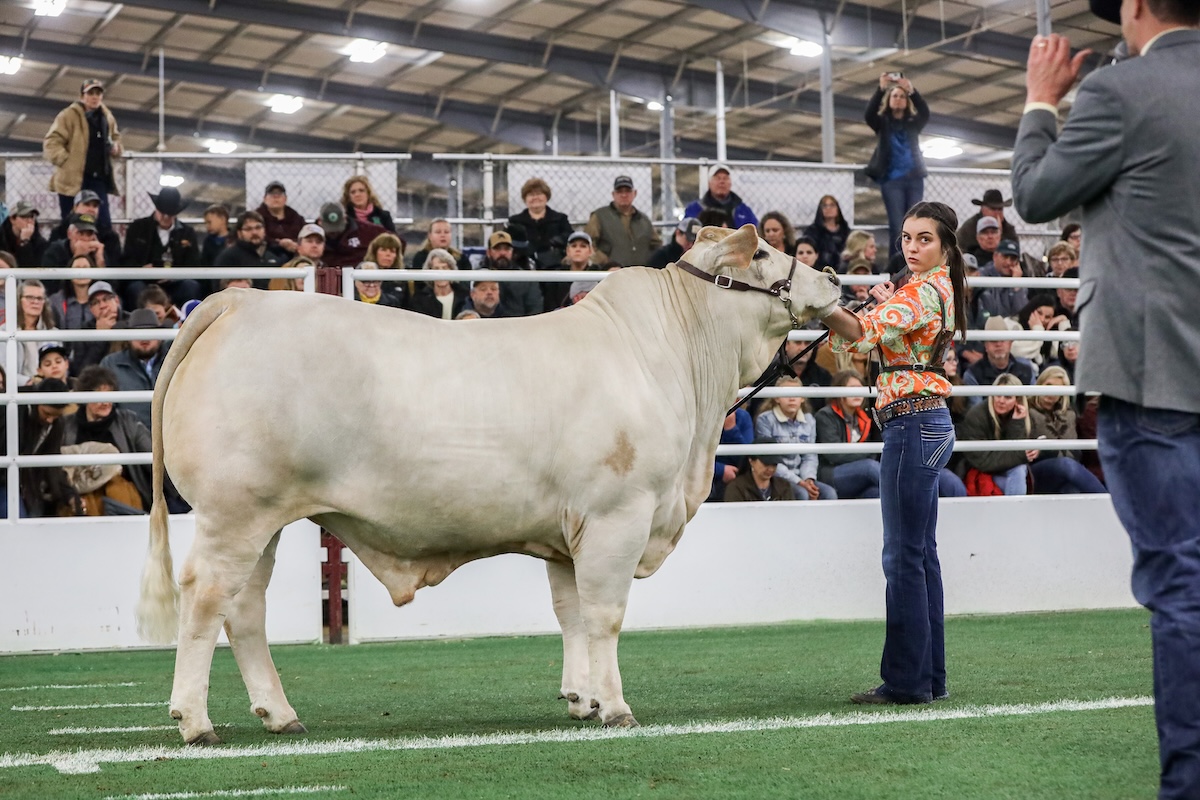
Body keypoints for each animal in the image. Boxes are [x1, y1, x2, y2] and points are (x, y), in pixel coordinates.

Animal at [136, 223, 842, 745]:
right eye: (768, 252)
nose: (835, 279)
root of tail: (241, 299)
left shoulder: (568, 532)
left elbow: (571, 612)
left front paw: (581, 699)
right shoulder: (618, 514)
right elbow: (606, 614)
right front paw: (615, 708)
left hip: (268, 520)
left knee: (245, 609)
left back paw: (279, 714)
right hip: (235, 512)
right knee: (205, 597)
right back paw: (194, 720)